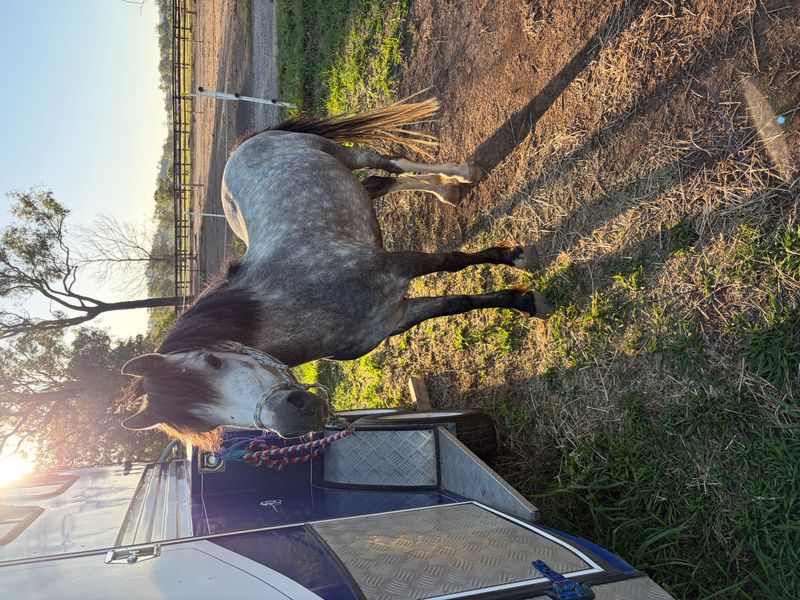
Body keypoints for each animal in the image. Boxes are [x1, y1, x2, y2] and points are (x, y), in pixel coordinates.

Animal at [121, 96, 552, 449]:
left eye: (213, 362)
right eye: (208, 422)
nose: (294, 414)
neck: (298, 299)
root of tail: (240, 148)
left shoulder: (398, 266)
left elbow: (454, 262)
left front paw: (518, 261)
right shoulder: (395, 316)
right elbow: (457, 302)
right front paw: (522, 300)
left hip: (341, 154)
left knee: (385, 161)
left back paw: (464, 174)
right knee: (378, 184)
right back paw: (447, 190)